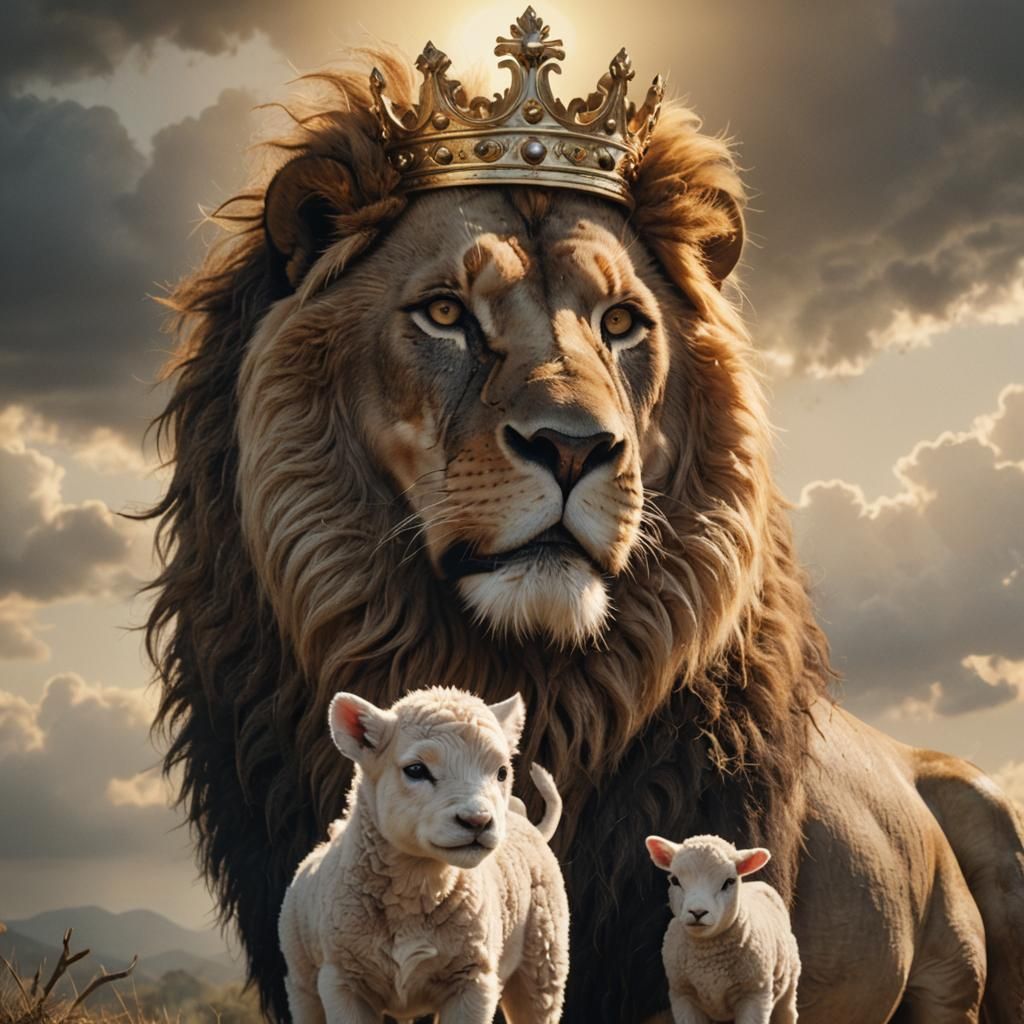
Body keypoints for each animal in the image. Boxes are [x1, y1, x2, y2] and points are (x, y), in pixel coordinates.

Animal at [279, 686, 569, 1024]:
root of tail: (527, 823)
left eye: (502, 772)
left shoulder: (473, 978)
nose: (477, 821)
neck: (414, 885)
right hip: (302, 980)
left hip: (544, 961)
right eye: (416, 770)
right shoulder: (343, 980)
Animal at [645, 833, 801, 1024]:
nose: (698, 912)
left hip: (789, 984)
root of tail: (758, 883)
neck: (707, 959)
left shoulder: (754, 995)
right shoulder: (683, 995)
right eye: (675, 880)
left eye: (729, 882)